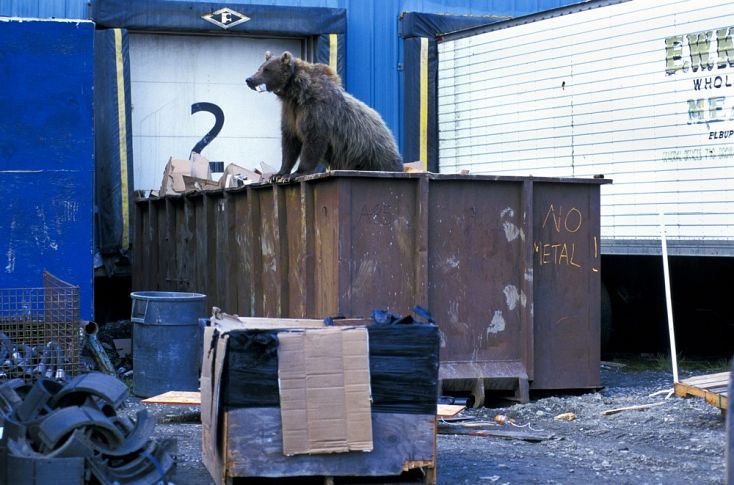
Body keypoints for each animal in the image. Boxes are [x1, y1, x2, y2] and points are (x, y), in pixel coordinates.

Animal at [246, 51, 402, 180]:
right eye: (260, 67)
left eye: (267, 70)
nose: (249, 79)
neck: (296, 94)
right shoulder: (290, 113)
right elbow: (289, 142)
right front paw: (279, 174)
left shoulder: (317, 111)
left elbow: (314, 140)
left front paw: (298, 172)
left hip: (371, 152)